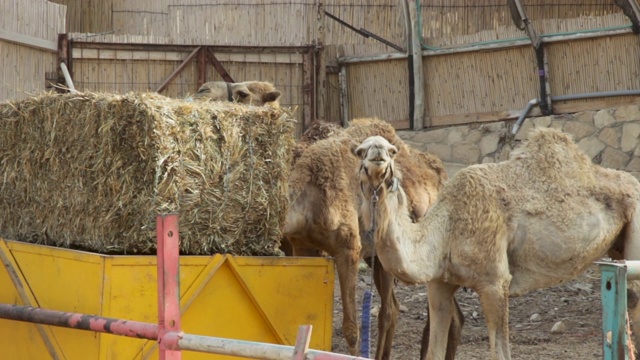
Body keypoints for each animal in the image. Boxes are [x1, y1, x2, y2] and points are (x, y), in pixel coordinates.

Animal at [282, 116, 458, 358]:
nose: (378, 151)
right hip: (379, 258)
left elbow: (351, 328)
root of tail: (440, 174)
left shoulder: (348, 250)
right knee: (401, 309)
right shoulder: (303, 246)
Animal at [352, 130, 640, 360]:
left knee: (633, 296)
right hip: (617, 247)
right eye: (360, 151)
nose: (378, 153)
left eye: (392, 150)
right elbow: (434, 352)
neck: (445, 230)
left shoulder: (495, 282)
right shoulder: (438, 284)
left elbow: (500, 353)